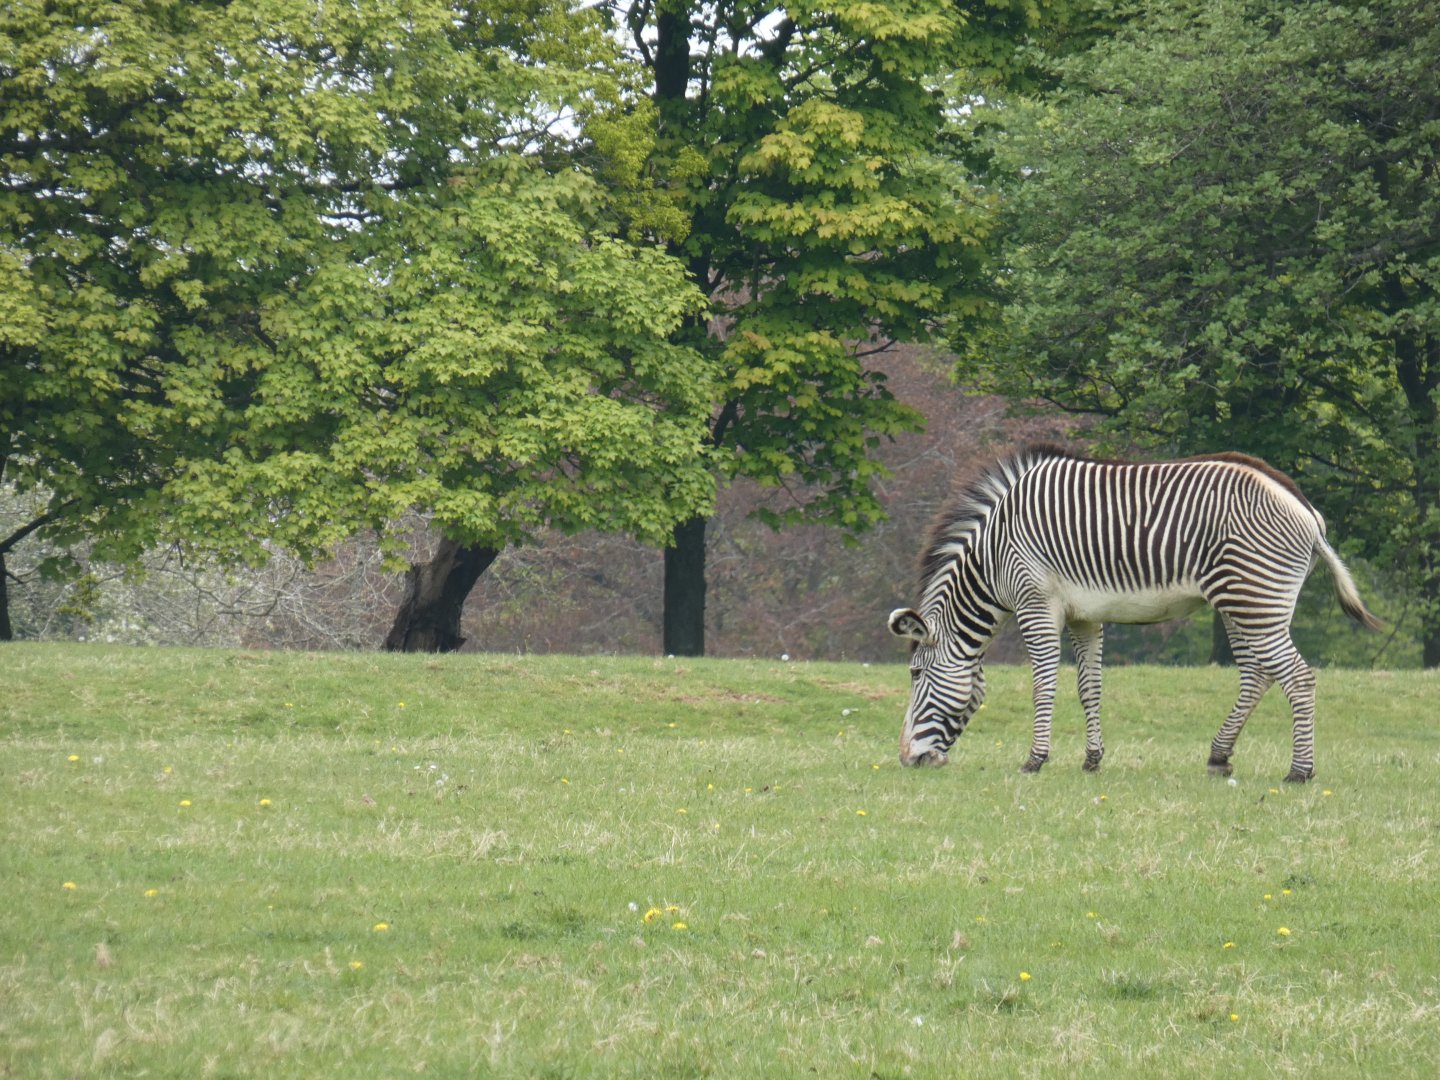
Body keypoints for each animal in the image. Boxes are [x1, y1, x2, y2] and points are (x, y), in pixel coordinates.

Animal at [888, 444, 1381, 782]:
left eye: (915, 673)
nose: (908, 760)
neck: (992, 557)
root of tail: (1307, 512)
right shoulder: (1084, 615)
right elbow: (1089, 689)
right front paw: (1092, 759)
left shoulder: (1036, 604)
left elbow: (1043, 685)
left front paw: (1035, 759)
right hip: (1240, 603)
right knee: (1258, 675)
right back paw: (1219, 756)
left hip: (1253, 599)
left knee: (1298, 677)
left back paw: (1300, 771)